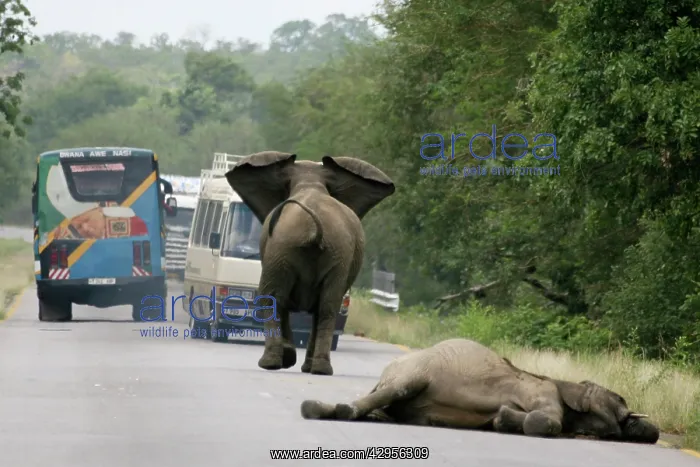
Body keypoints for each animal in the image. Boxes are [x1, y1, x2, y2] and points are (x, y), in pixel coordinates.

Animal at [224, 151, 395, 376]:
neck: (310, 182)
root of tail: (314, 230)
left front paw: (290, 357)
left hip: (291, 249)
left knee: (275, 299)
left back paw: (274, 364)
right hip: (325, 252)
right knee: (325, 306)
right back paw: (317, 369)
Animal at [300, 338, 660, 443]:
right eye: (620, 398)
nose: (647, 427)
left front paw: (501, 420)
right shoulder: (543, 391)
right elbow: (547, 421)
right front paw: (505, 416)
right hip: (413, 372)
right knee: (393, 391)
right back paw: (322, 409)